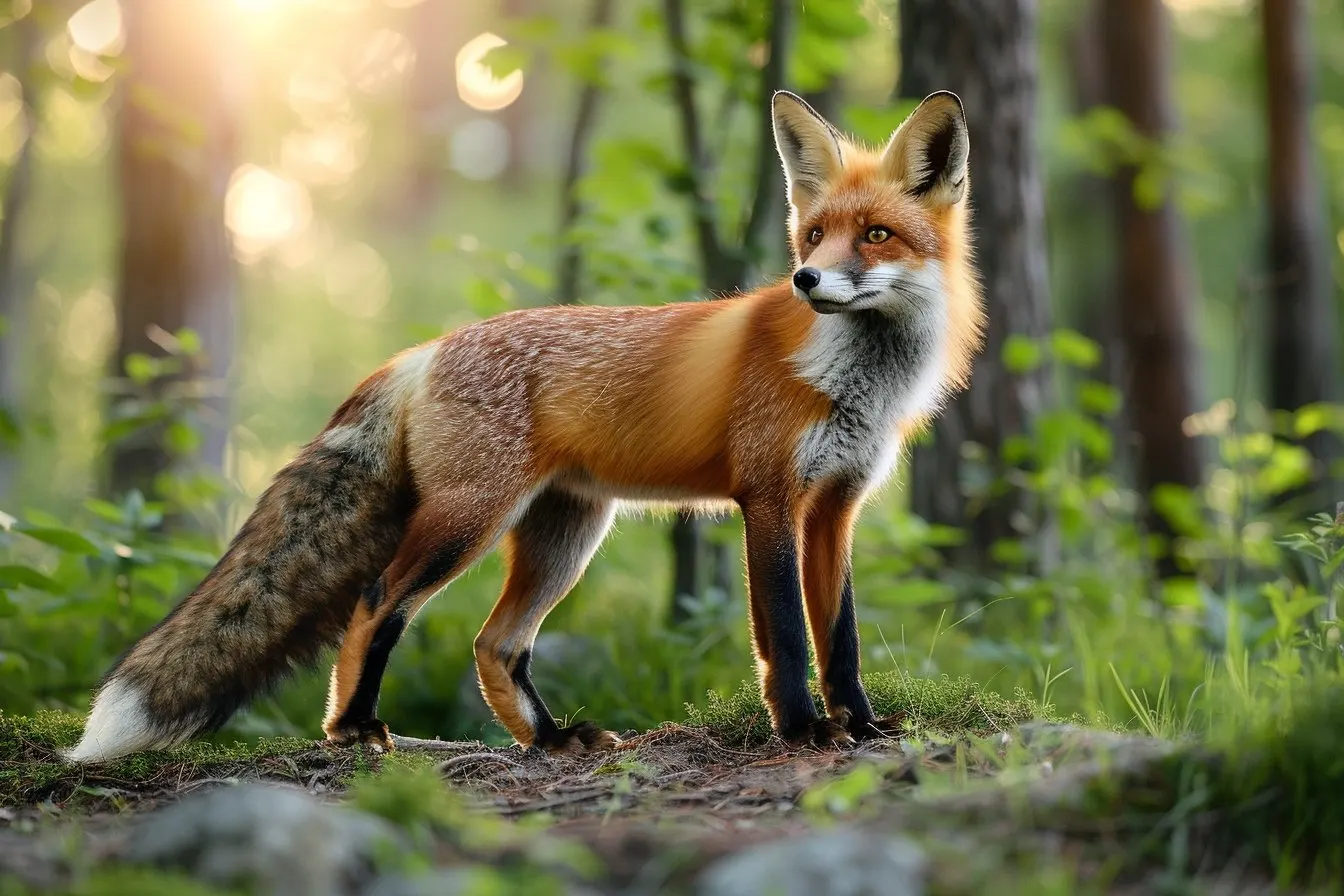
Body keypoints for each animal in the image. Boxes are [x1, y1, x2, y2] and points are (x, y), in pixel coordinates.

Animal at [66, 89, 984, 763]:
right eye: (814, 234)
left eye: (875, 235)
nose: (806, 280)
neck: (856, 382)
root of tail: (424, 350)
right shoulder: (768, 500)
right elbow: (789, 639)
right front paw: (802, 730)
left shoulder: (835, 507)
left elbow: (843, 639)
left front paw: (861, 723)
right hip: (471, 520)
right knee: (377, 603)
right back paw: (355, 729)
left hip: (567, 532)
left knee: (494, 643)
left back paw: (549, 740)